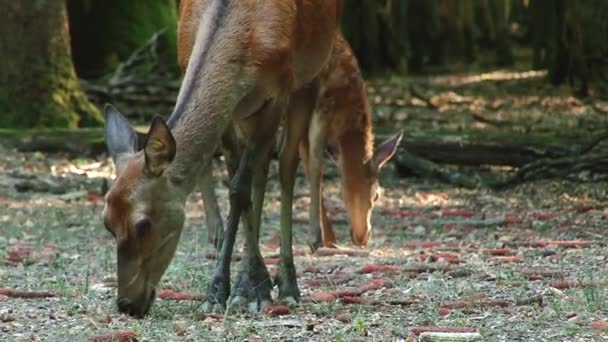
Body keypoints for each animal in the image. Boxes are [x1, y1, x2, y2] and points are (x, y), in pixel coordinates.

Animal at [102, 0, 344, 316]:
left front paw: (224, 291)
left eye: (143, 224)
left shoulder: (278, 92)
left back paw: (288, 284)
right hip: (249, 114)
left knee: (286, 166)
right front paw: (247, 286)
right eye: (107, 223)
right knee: (260, 171)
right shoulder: (231, 111)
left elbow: (239, 189)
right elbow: (239, 185)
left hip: (309, 78)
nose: (127, 304)